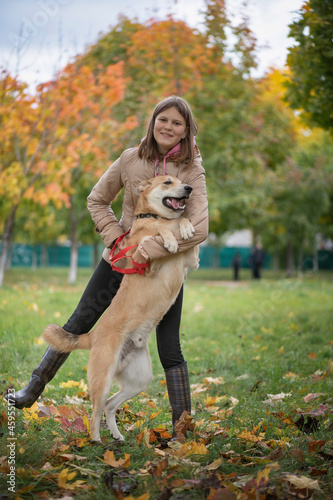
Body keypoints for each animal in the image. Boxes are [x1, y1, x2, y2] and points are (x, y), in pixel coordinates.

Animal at [41, 176, 197, 442]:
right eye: (168, 181)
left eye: (181, 180)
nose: (189, 188)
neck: (154, 216)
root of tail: (92, 336)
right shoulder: (144, 260)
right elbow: (157, 232)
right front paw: (169, 237)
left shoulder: (191, 262)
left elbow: (183, 226)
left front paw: (185, 226)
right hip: (103, 378)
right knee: (94, 410)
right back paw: (96, 441)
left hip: (139, 380)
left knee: (109, 405)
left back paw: (116, 435)